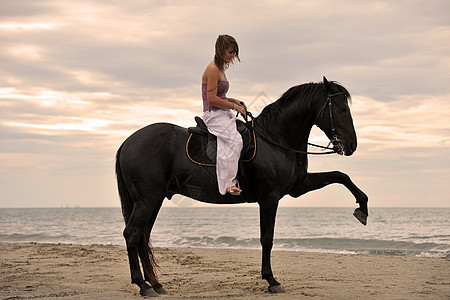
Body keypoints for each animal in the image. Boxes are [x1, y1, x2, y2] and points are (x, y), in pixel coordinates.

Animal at [117, 77, 370, 296]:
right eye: (342, 110)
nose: (352, 145)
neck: (275, 138)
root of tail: (128, 142)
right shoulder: (270, 198)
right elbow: (267, 238)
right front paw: (271, 279)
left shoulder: (298, 187)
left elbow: (340, 175)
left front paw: (362, 207)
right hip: (147, 199)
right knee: (132, 234)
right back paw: (143, 285)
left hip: (154, 199)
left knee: (142, 236)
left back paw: (156, 284)